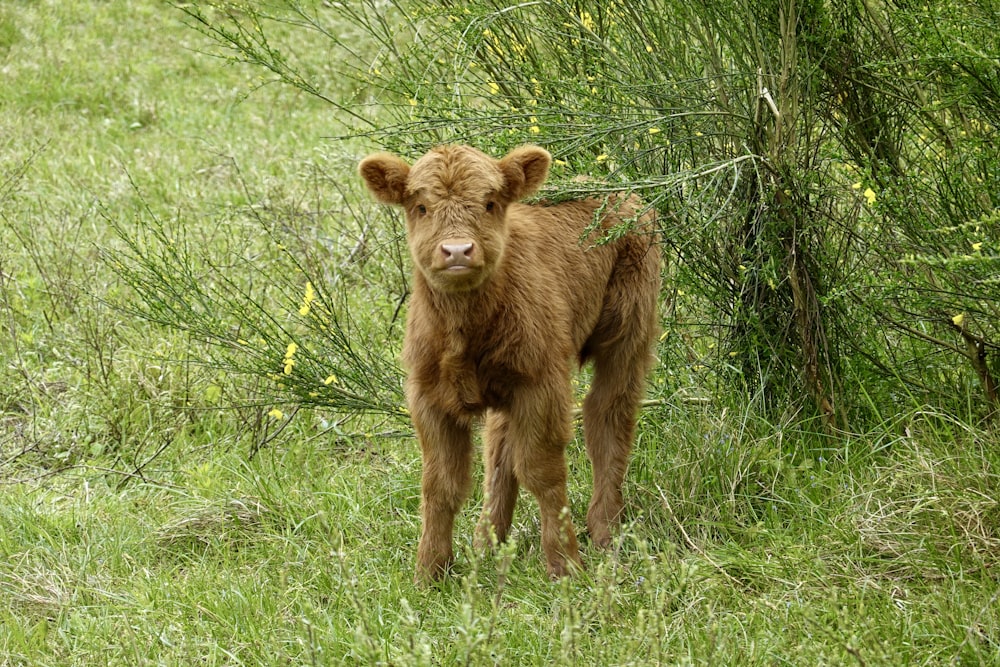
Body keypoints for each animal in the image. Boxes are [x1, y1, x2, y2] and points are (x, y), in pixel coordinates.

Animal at [360, 145, 664, 580]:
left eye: (489, 203)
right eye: (420, 206)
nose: (457, 251)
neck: (465, 330)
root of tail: (611, 187)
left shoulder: (542, 385)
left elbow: (542, 471)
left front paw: (565, 565)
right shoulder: (427, 396)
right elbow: (440, 483)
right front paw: (430, 571)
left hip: (629, 331)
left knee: (608, 415)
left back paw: (606, 530)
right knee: (502, 447)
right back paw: (487, 542)